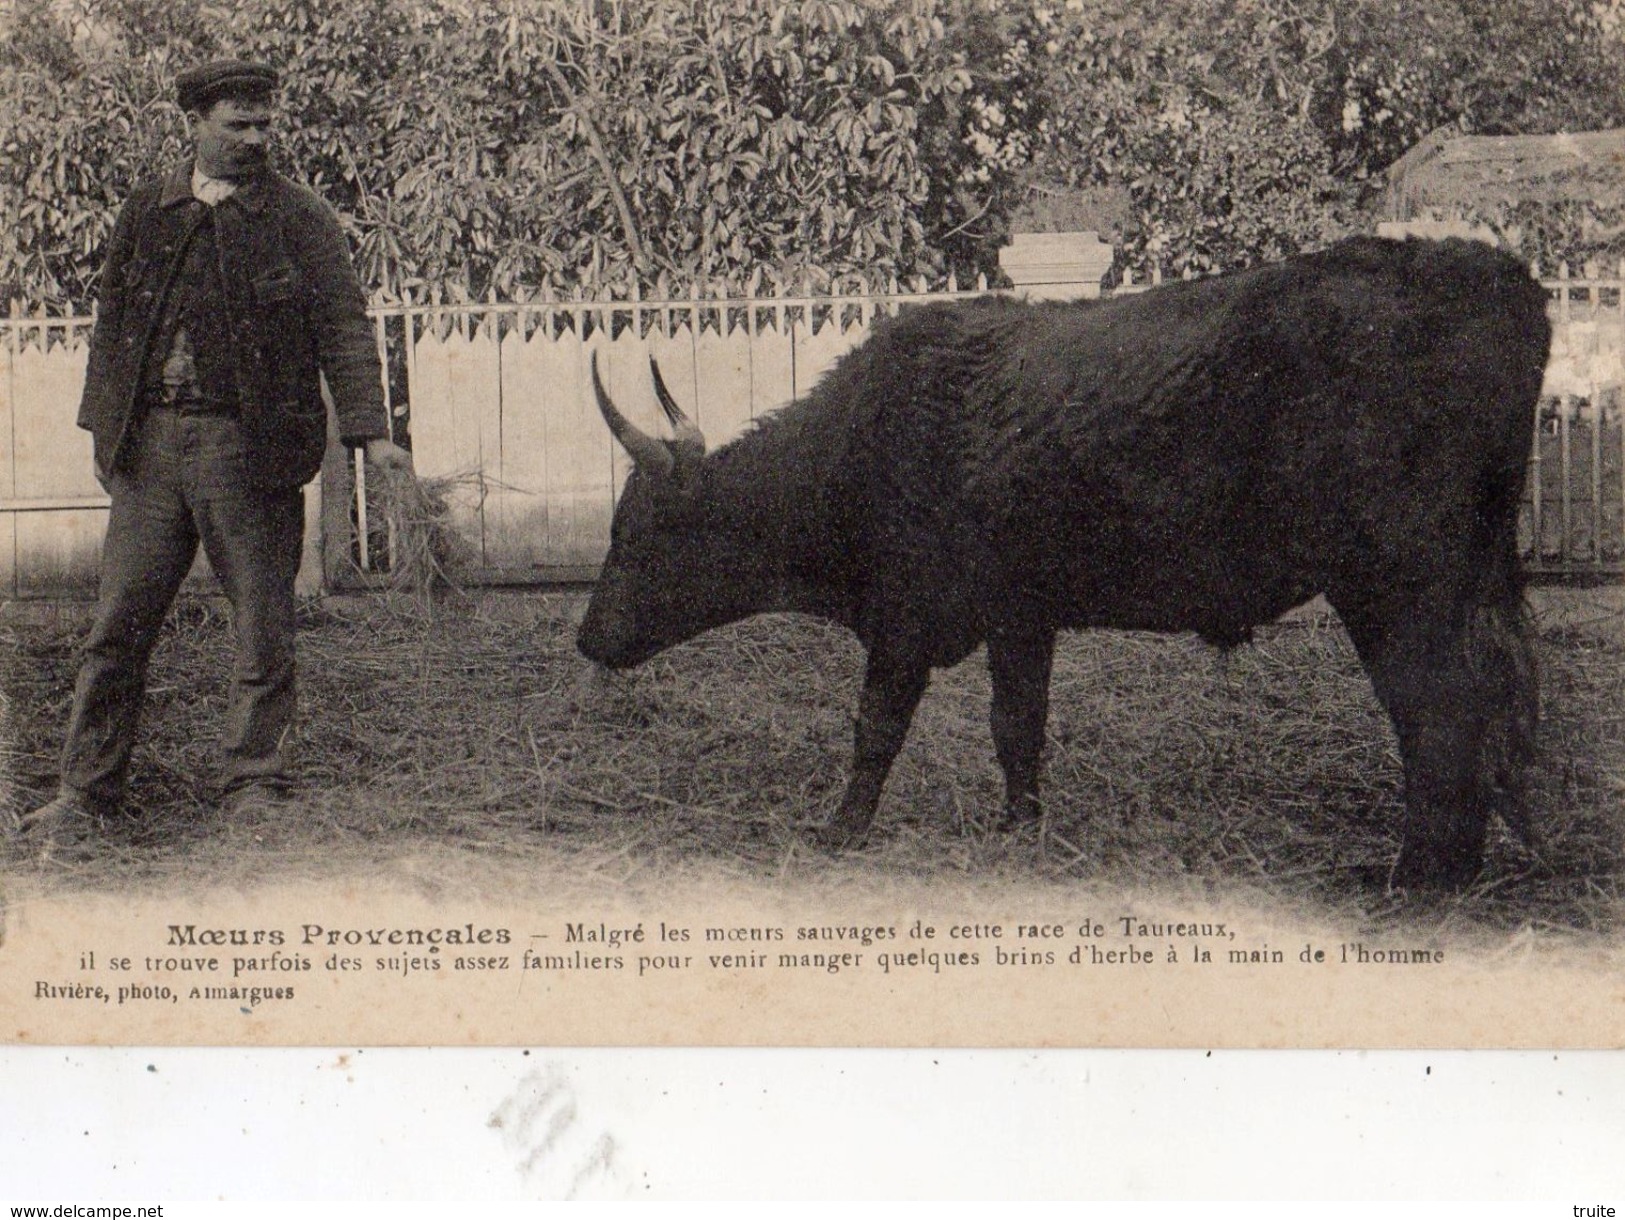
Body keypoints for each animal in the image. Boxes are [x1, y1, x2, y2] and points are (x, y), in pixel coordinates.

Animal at [575, 238, 1547, 890]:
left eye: (633, 534)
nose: (586, 638)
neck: (863, 434)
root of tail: (1488, 272)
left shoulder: (902, 621)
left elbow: (874, 730)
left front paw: (838, 834)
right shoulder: (1019, 616)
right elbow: (1018, 728)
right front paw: (1019, 827)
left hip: (1396, 585)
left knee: (1441, 710)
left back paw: (1417, 876)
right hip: (1464, 577)